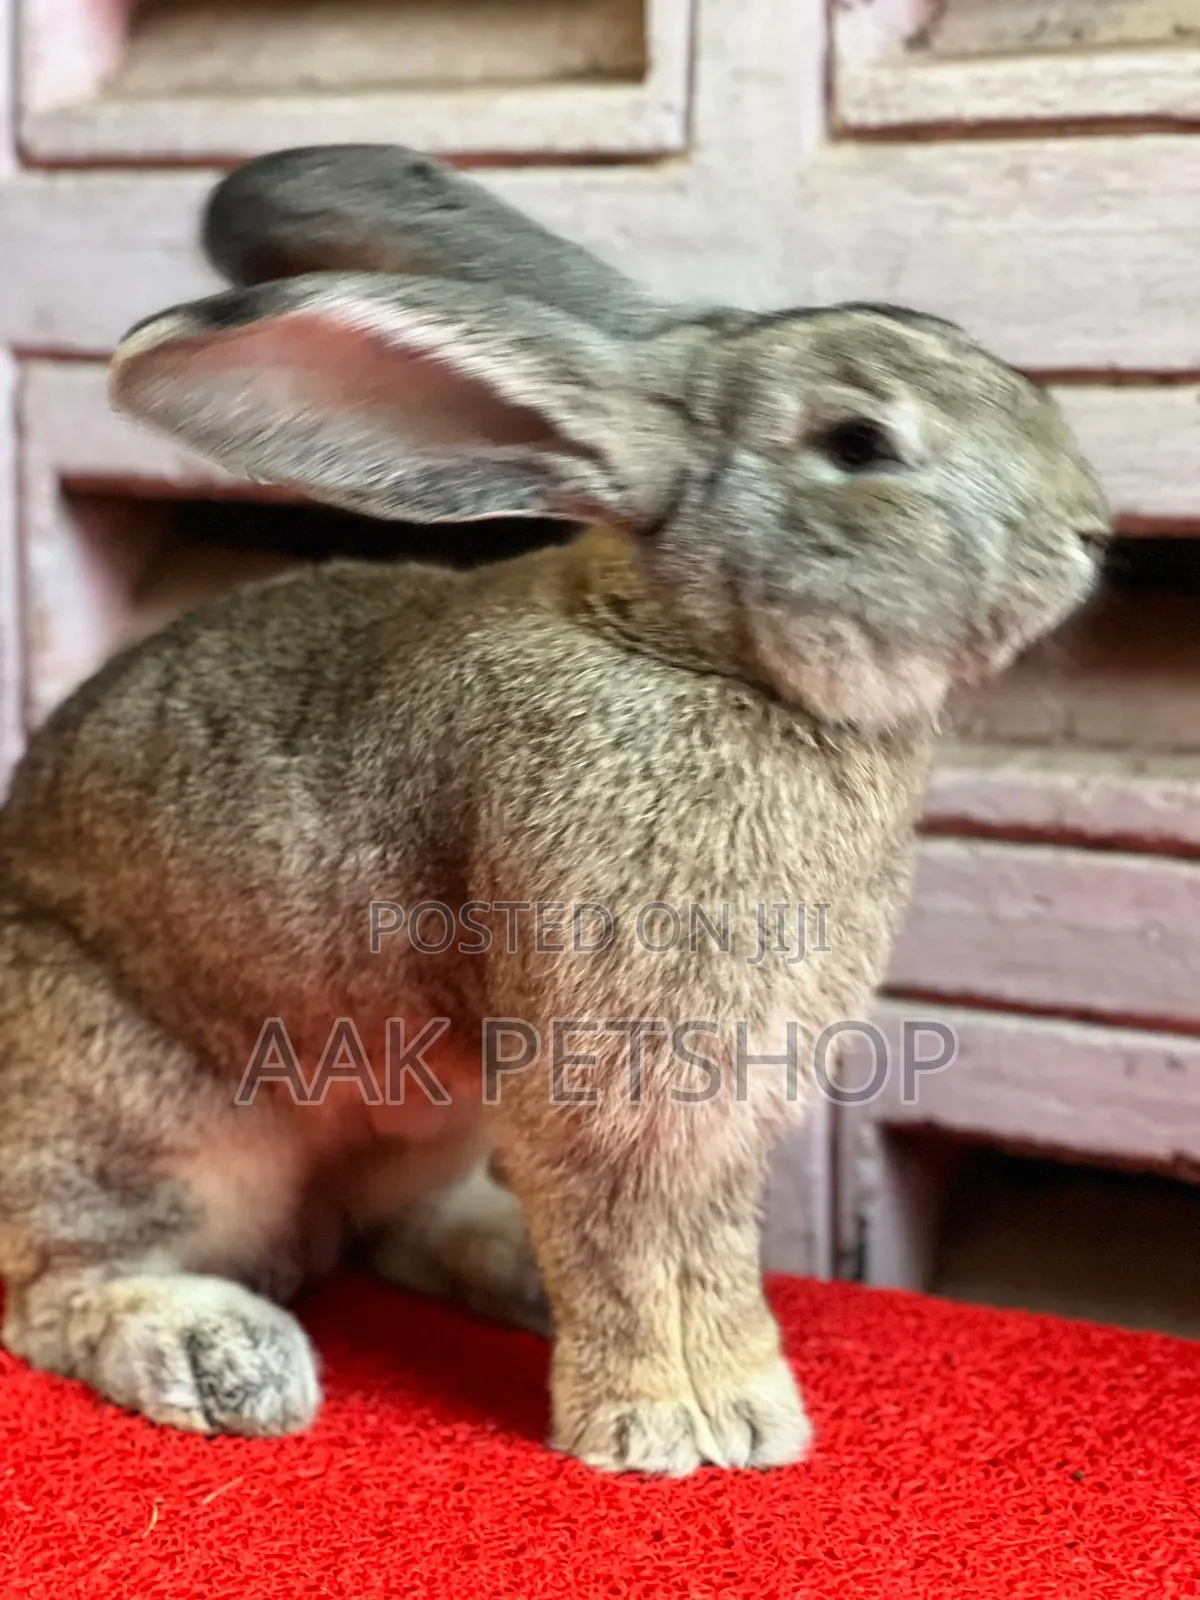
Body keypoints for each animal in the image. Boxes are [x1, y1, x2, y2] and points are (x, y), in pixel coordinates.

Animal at [0, 144, 1110, 1475]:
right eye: (858, 442)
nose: (1090, 530)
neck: (697, 654)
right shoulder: (603, 1082)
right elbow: (624, 1248)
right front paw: (653, 1428)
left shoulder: (722, 1115)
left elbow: (709, 1258)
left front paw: (750, 1410)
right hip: (135, 1117)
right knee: (53, 1285)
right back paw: (221, 1354)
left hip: (416, 1122)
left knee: (396, 1228)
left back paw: (505, 1276)